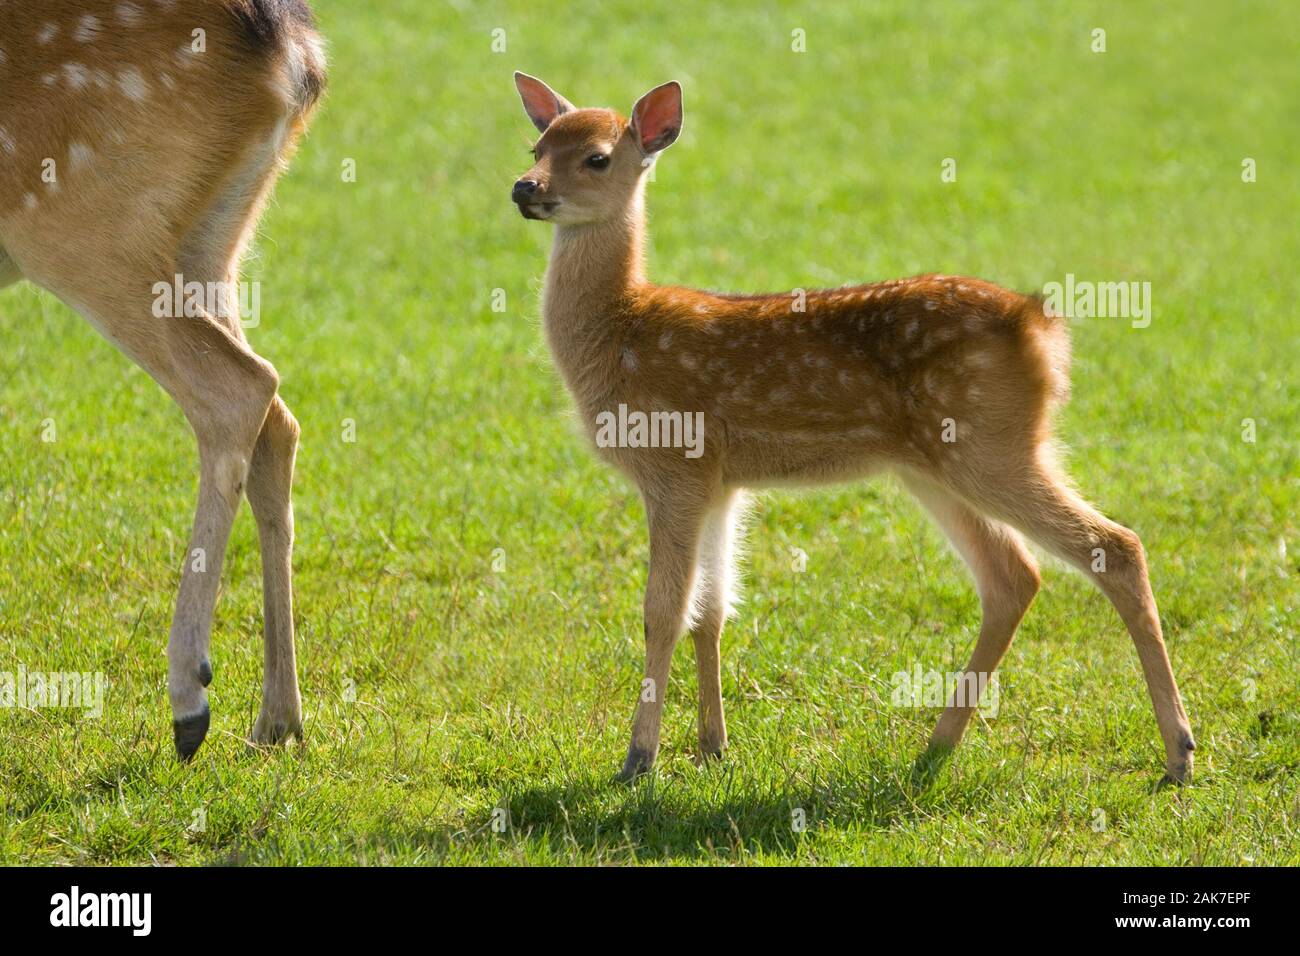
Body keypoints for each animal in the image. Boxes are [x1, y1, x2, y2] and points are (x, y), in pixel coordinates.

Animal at [0, 1, 325, 764]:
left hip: (77, 222)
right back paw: (277, 720)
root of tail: (294, 50)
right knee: (277, 417)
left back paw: (190, 701)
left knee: (238, 389)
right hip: (213, 240)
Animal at [509, 74, 1196, 790]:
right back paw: (934, 750)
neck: (623, 333)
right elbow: (713, 612)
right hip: (935, 465)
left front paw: (637, 760)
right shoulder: (720, 483)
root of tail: (1042, 327)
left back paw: (1178, 752)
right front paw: (712, 748)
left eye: (596, 158)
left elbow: (662, 613)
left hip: (991, 445)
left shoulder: (674, 464)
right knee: (1014, 577)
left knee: (1115, 546)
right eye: (536, 145)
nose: (523, 188)